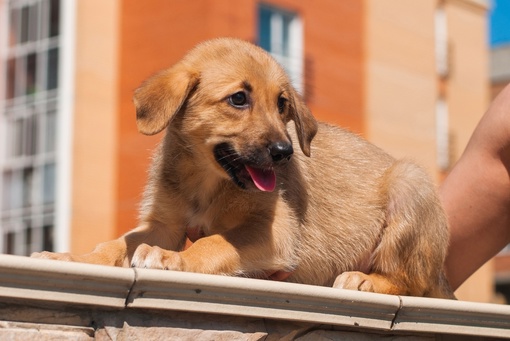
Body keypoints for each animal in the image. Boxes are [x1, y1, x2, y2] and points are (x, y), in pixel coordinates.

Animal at [32, 37, 454, 298]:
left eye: (282, 104)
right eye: (238, 99)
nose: (285, 152)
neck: (207, 181)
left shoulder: (273, 232)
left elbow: (214, 242)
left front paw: (171, 259)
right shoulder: (164, 224)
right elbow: (117, 244)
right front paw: (71, 259)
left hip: (410, 184)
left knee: (413, 282)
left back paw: (363, 279)